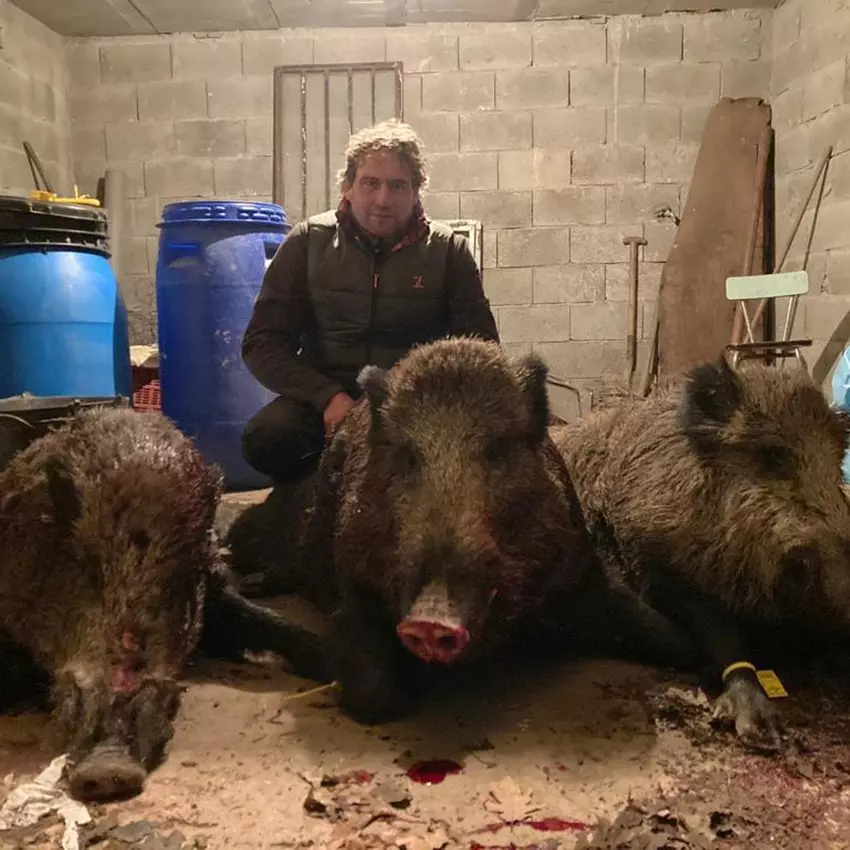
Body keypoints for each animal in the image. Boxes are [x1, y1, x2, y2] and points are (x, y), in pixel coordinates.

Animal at [227, 337, 698, 724]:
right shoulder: (352, 582)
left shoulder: (584, 573)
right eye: (406, 455)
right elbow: (372, 693)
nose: (431, 620)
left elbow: (672, 637)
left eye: (497, 449)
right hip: (262, 530)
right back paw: (247, 579)